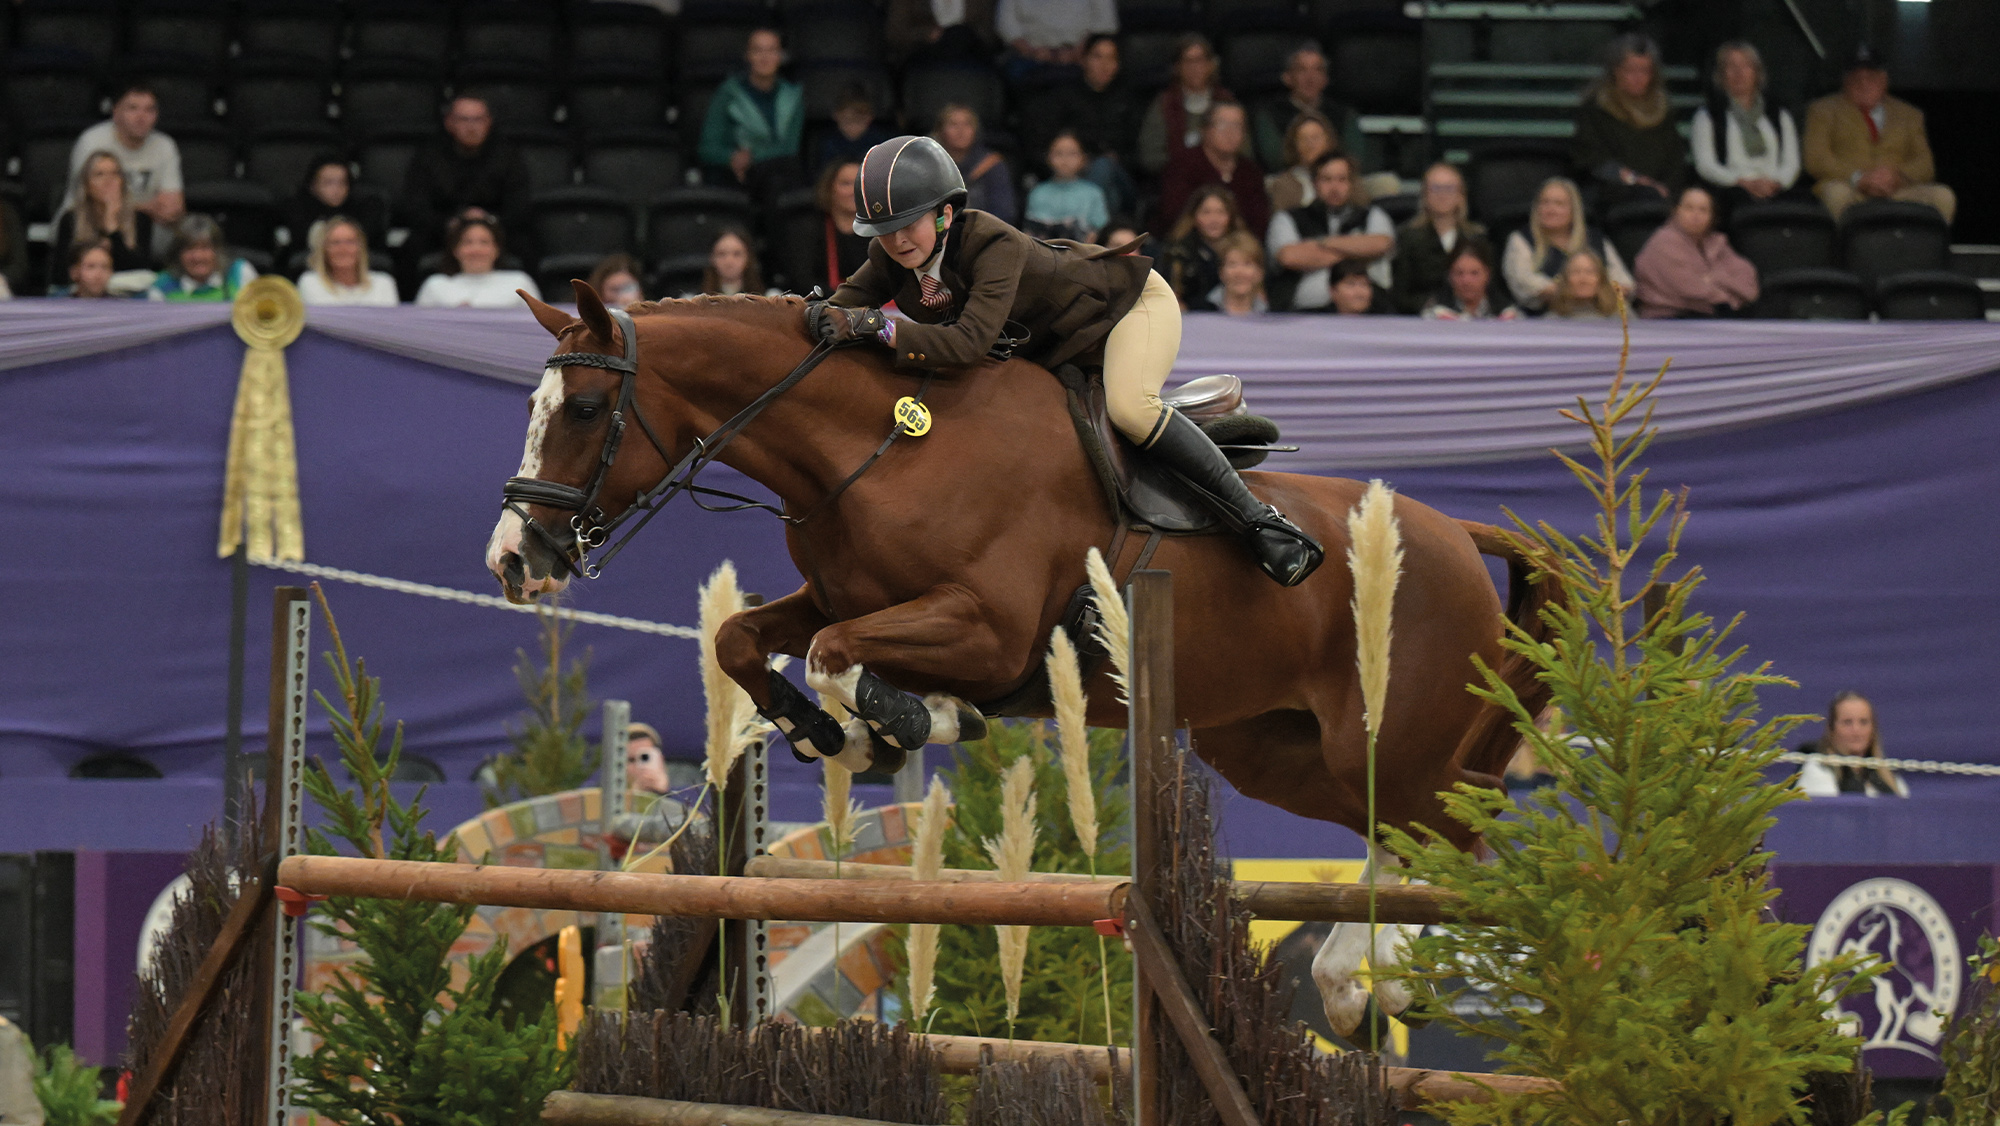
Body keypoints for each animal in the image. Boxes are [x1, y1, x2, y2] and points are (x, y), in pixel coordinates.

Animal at [485, 281, 1558, 1037]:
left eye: (584, 407)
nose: (513, 560)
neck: (883, 446)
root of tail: (1458, 531)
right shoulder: (842, 597)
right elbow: (743, 638)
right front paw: (839, 734)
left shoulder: (988, 627)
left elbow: (838, 656)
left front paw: (909, 720)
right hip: (1279, 752)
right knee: (1416, 830)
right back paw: (1354, 981)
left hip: (1388, 737)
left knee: (1455, 833)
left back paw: (1382, 979)